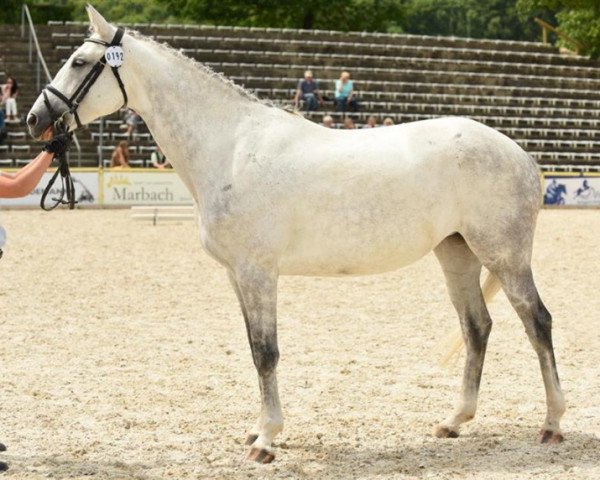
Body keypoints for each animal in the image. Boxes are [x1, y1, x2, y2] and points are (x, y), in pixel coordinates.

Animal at [25, 5, 564, 464]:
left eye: (79, 61)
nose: (34, 119)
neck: (231, 147)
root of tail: (521, 154)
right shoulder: (238, 276)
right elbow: (253, 349)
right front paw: (257, 429)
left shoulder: (258, 272)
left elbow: (267, 352)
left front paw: (266, 440)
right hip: (457, 254)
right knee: (477, 328)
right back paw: (453, 422)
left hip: (505, 255)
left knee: (537, 322)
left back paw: (553, 424)